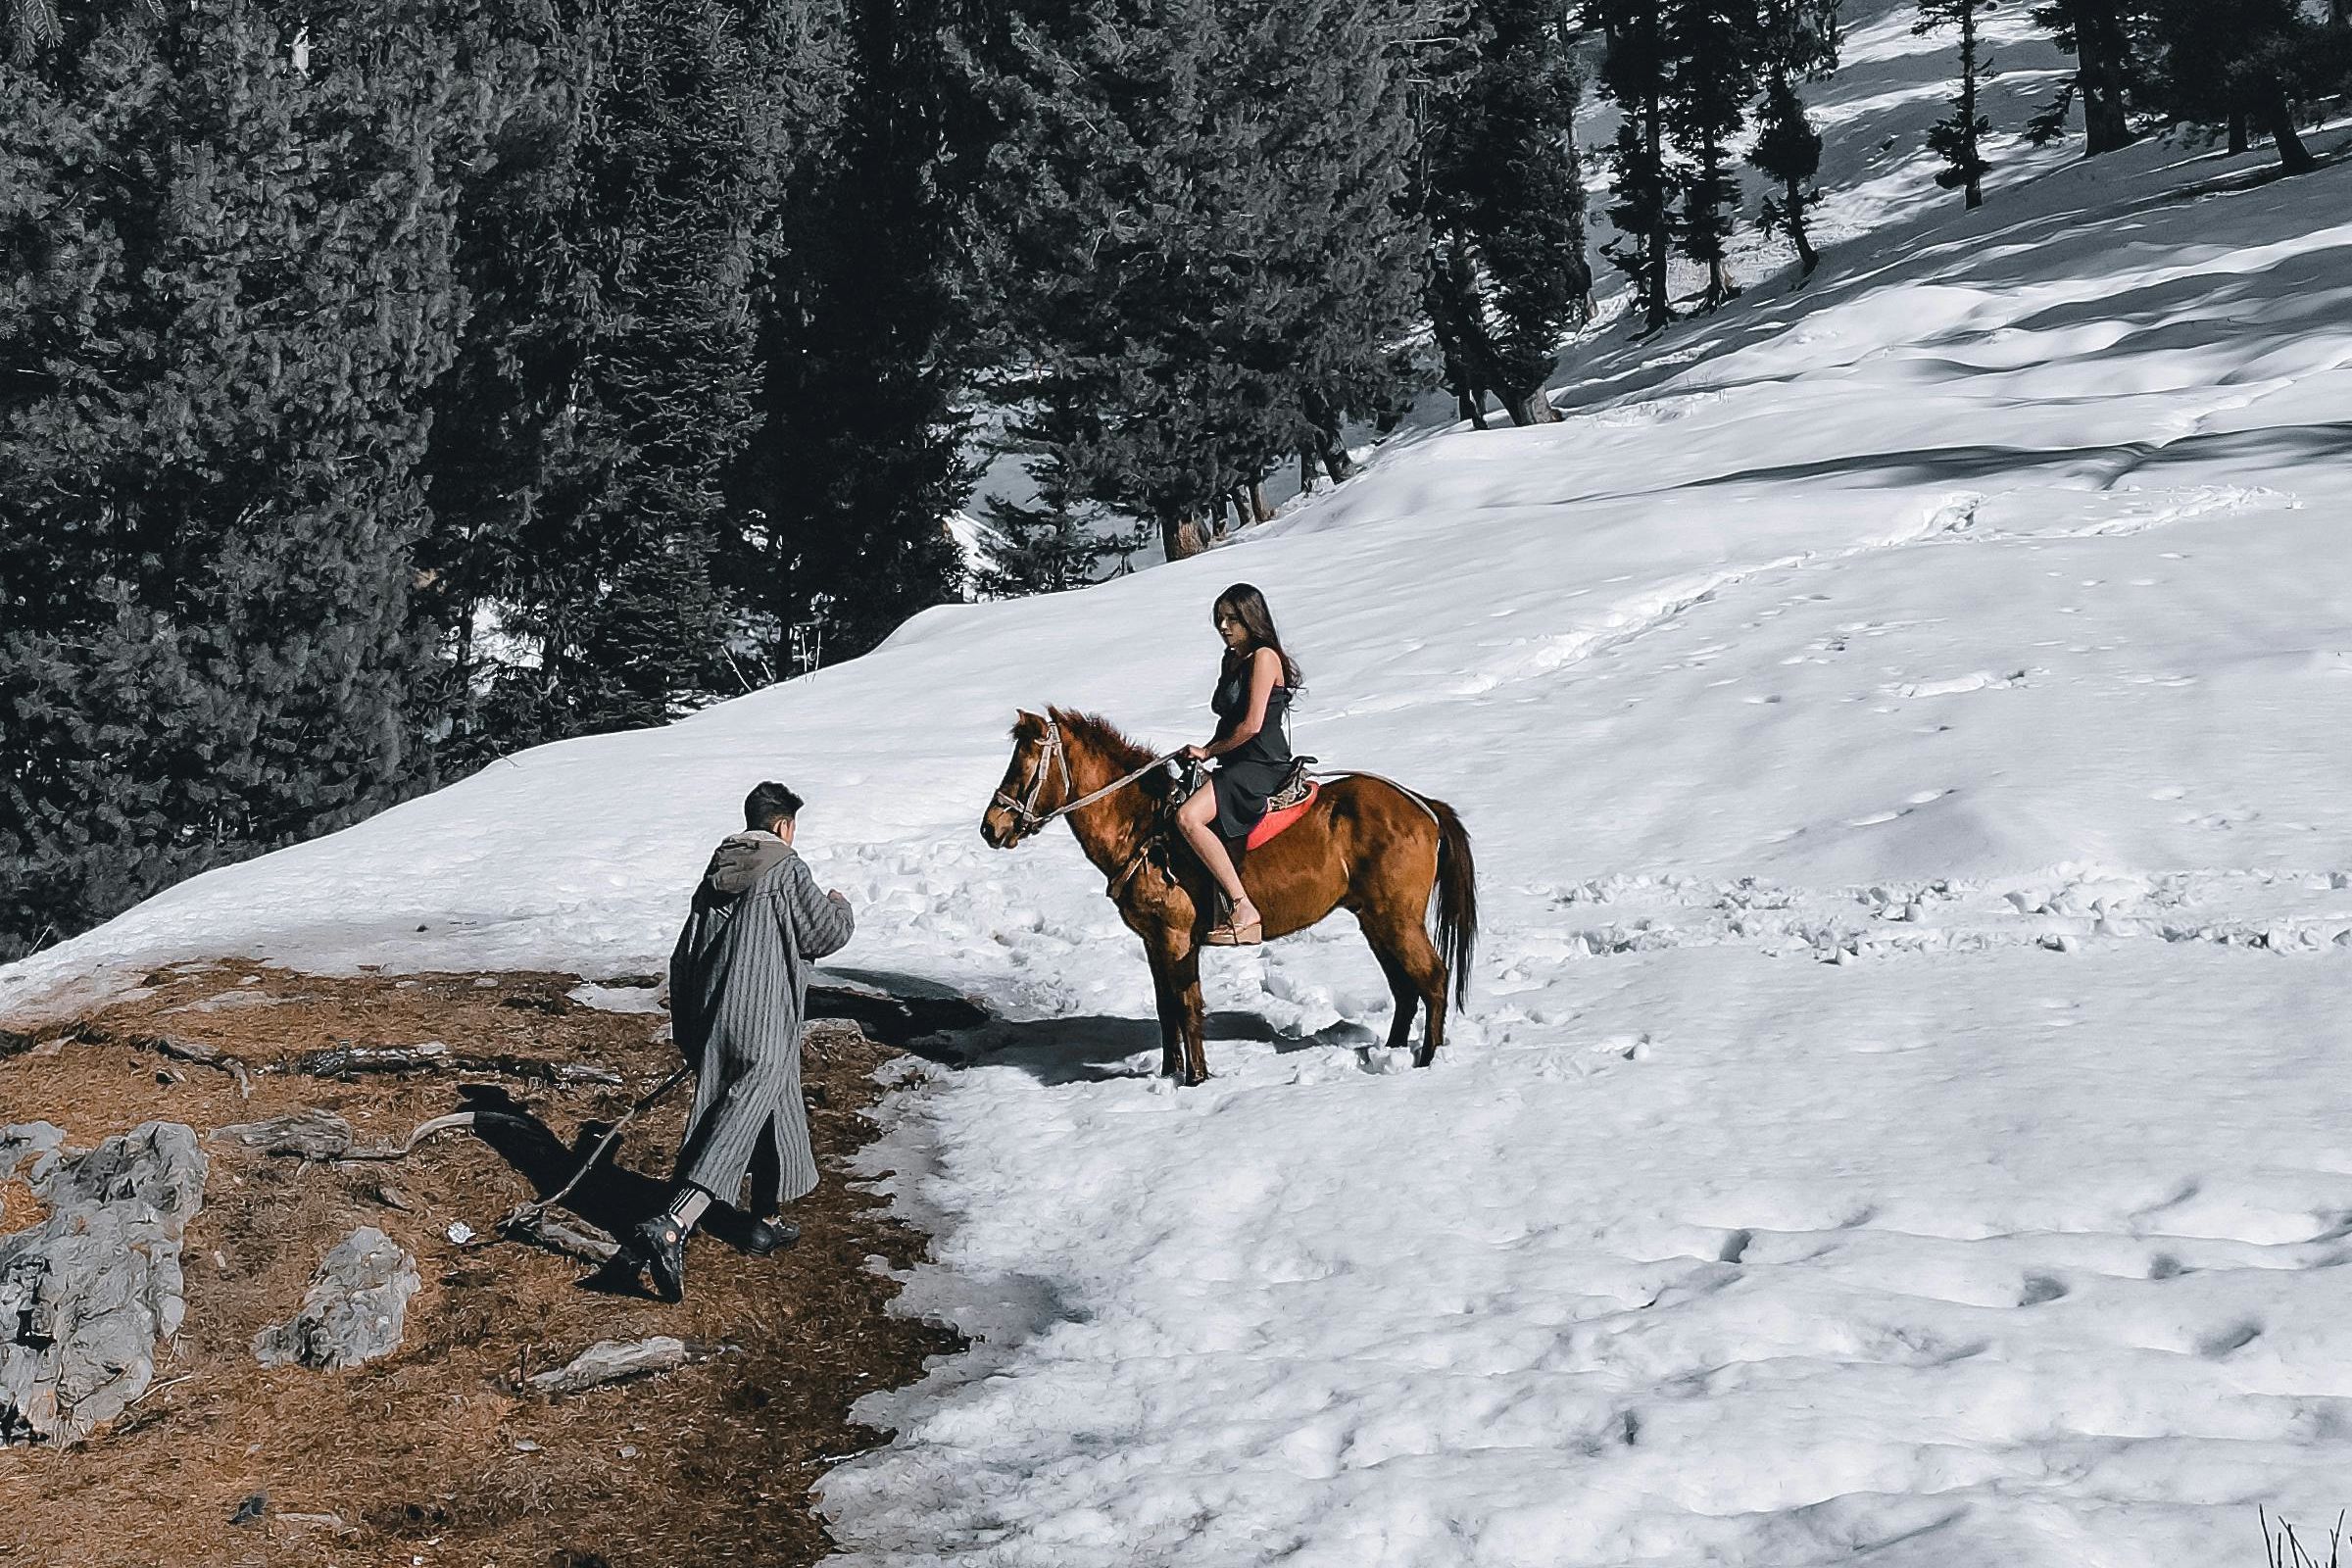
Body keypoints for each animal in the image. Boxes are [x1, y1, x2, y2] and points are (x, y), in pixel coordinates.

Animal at [979, 708, 1477, 1085]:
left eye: (1024, 765)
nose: (990, 827)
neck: (1144, 829)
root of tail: (1425, 807)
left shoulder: (1177, 939)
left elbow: (1187, 1007)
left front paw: (1196, 1079)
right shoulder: (1153, 941)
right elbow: (1166, 1009)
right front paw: (1170, 1074)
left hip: (1397, 919)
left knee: (1432, 979)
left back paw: (1427, 1061)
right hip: (1374, 919)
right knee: (1405, 989)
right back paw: (1393, 1053)